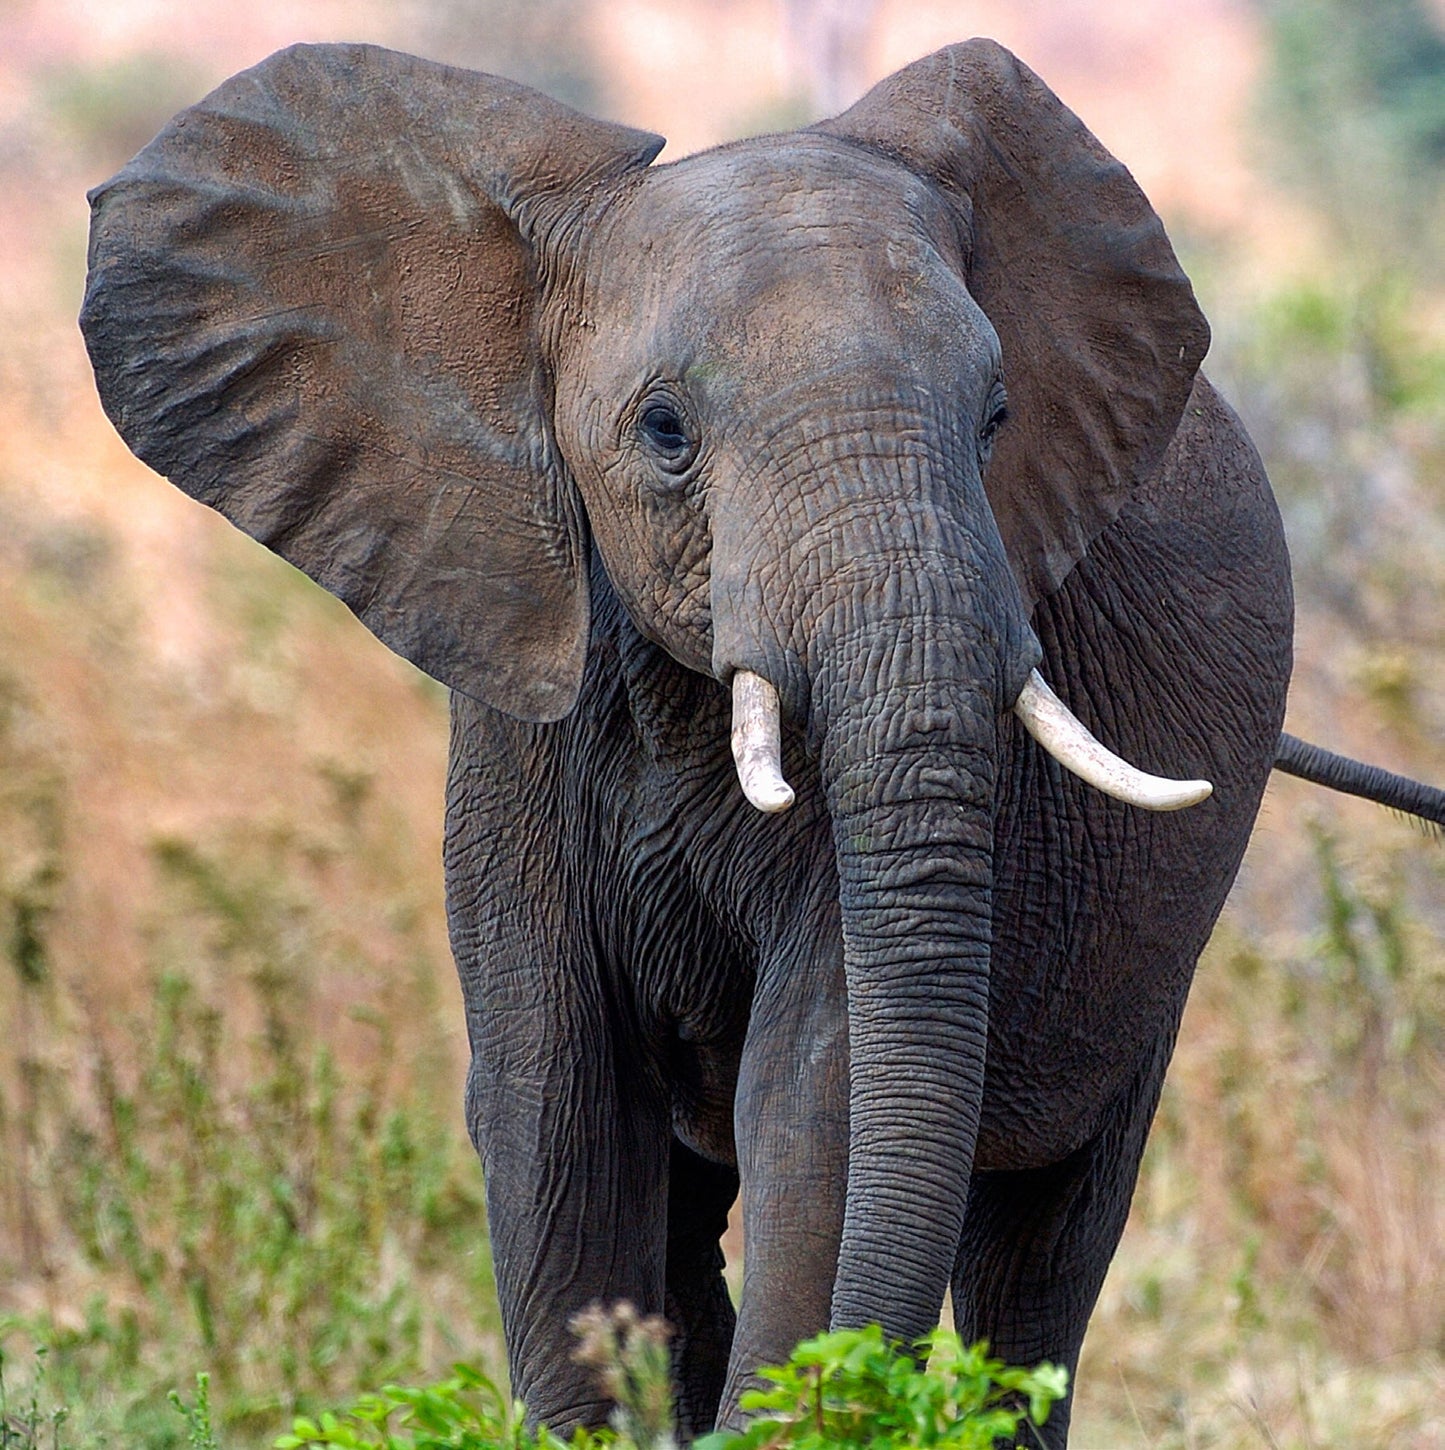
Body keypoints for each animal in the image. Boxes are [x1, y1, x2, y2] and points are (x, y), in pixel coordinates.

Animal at [80, 38, 1445, 1446]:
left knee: (1038, 1253)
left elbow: (819, 1093)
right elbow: (556, 1104)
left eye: (996, 418)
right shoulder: (521, 719)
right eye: (664, 431)